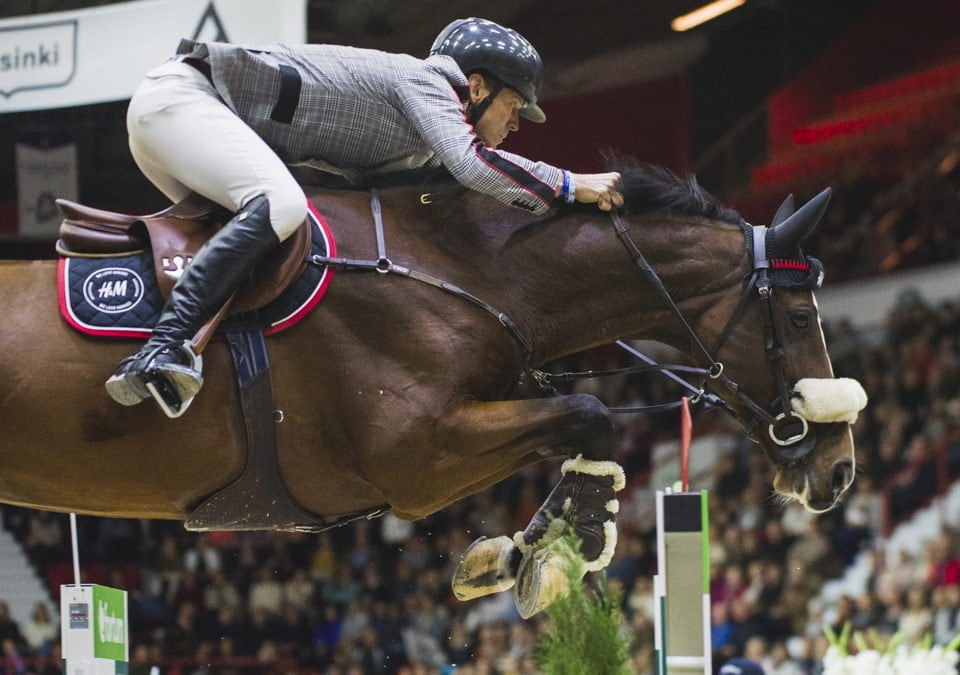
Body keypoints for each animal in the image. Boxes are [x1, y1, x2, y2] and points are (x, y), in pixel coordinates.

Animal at [0, 160, 864, 616]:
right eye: (797, 312)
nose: (842, 468)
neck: (468, 272)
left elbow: (576, 427)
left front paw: (520, 549)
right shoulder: (416, 458)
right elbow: (589, 414)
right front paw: (566, 544)